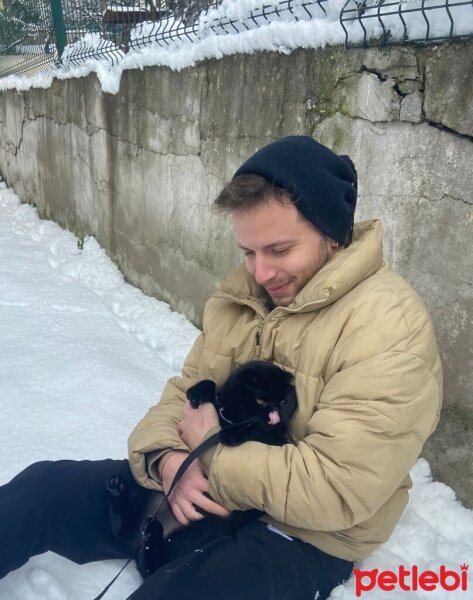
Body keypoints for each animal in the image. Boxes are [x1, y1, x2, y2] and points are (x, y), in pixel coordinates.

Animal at [106, 358, 296, 580]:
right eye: (260, 400)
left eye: (283, 402)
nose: (274, 417)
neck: (229, 418)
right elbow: (212, 385)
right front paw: (198, 392)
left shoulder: (279, 441)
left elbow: (257, 432)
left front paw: (231, 435)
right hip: (146, 495)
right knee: (124, 535)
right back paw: (117, 490)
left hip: (199, 532)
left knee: (151, 566)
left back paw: (151, 530)